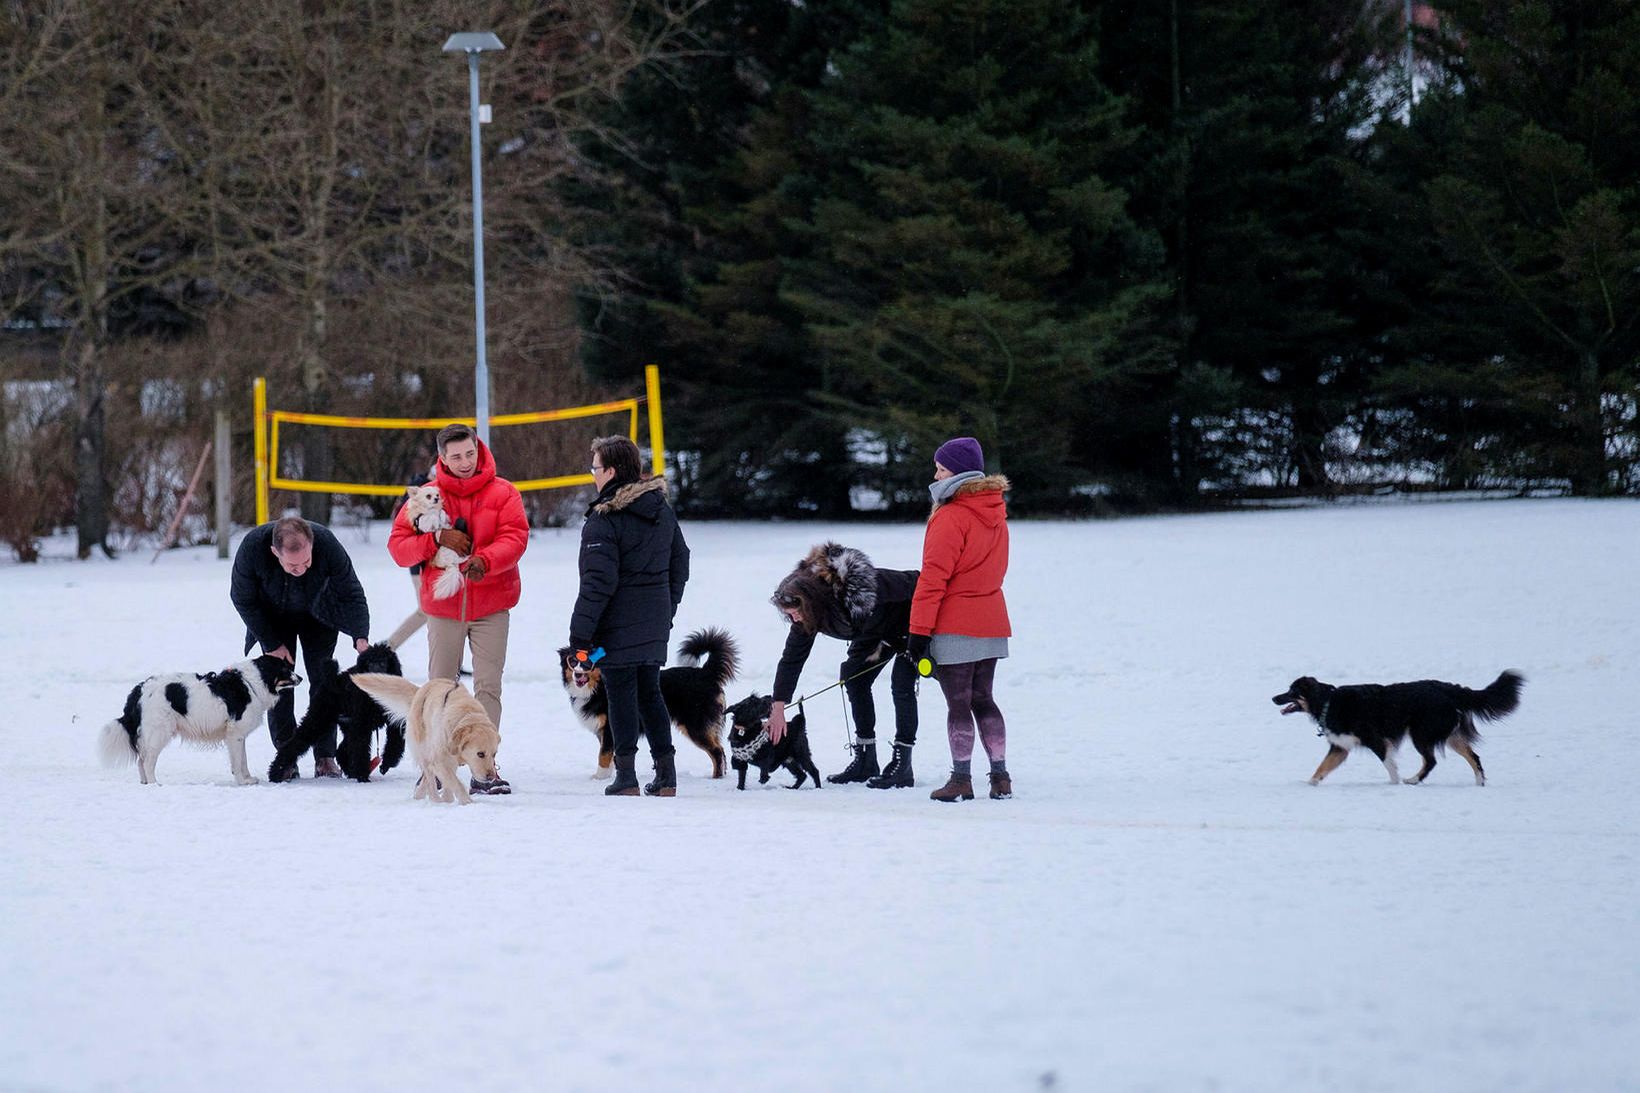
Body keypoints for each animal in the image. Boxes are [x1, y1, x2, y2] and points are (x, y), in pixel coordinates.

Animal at [98, 656, 300, 784]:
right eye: (284, 668)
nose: (301, 677)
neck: (252, 683)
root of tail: (140, 688)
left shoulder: (238, 735)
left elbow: (243, 760)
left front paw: (248, 779)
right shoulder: (234, 734)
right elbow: (237, 761)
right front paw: (242, 781)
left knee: (141, 760)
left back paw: (145, 783)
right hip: (159, 733)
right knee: (147, 762)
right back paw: (155, 784)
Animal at [268, 640, 406, 784]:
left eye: (383, 662)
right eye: (369, 663)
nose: (373, 676)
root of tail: (333, 680)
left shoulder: (394, 721)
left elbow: (395, 743)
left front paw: (386, 764)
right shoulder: (361, 724)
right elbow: (360, 749)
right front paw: (362, 776)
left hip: (346, 724)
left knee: (341, 751)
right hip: (319, 718)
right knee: (296, 742)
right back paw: (277, 772)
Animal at [347, 672, 495, 800]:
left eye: (494, 755)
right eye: (480, 754)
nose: (491, 777)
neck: (465, 715)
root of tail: (421, 690)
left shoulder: (448, 761)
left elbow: (449, 783)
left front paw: (449, 800)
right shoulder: (440, 760)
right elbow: (455, 784)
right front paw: (466, 802)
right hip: (423, 751)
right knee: (429, 779)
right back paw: (435, 800)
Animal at [564, 626, 744, 777]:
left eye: (589, 663)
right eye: (572, 662)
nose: (578, 674)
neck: (597, 688)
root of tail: (706, 673)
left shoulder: (609, 728)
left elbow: (603, 755)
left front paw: (599, 777)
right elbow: (609, 755)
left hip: (696, 724)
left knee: (716, 751)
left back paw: (716, 777)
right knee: (719, 749)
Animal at [1266, 663, 1521, 784]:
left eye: (1292, 691)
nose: (1273, 698)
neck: (1328, 702)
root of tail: (1451, 689)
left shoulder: (1375, 739)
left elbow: (1389, 765)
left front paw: (1395, 783)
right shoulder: (1341, 746)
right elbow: (1321, 768)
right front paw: (1309, 784)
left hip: (1421, 732)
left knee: (1431, 761)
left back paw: (1413, 780)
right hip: (1450, 734)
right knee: (1474, 757)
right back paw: (1479, 782)